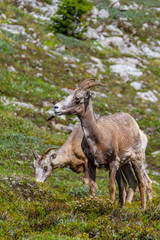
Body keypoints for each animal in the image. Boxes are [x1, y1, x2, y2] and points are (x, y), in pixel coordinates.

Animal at [53, 79, 151, 210]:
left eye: (77, 98)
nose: (56, 107)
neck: (98, 138)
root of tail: (134, 123)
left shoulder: (113, 163)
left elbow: (111, 187)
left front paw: (110, 206)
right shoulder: (91, 163)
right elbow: (92, 187)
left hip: (136, 159)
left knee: (141, 182)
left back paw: (143, 209)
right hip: (125, 164)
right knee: (131, 182)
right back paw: (123, 207)